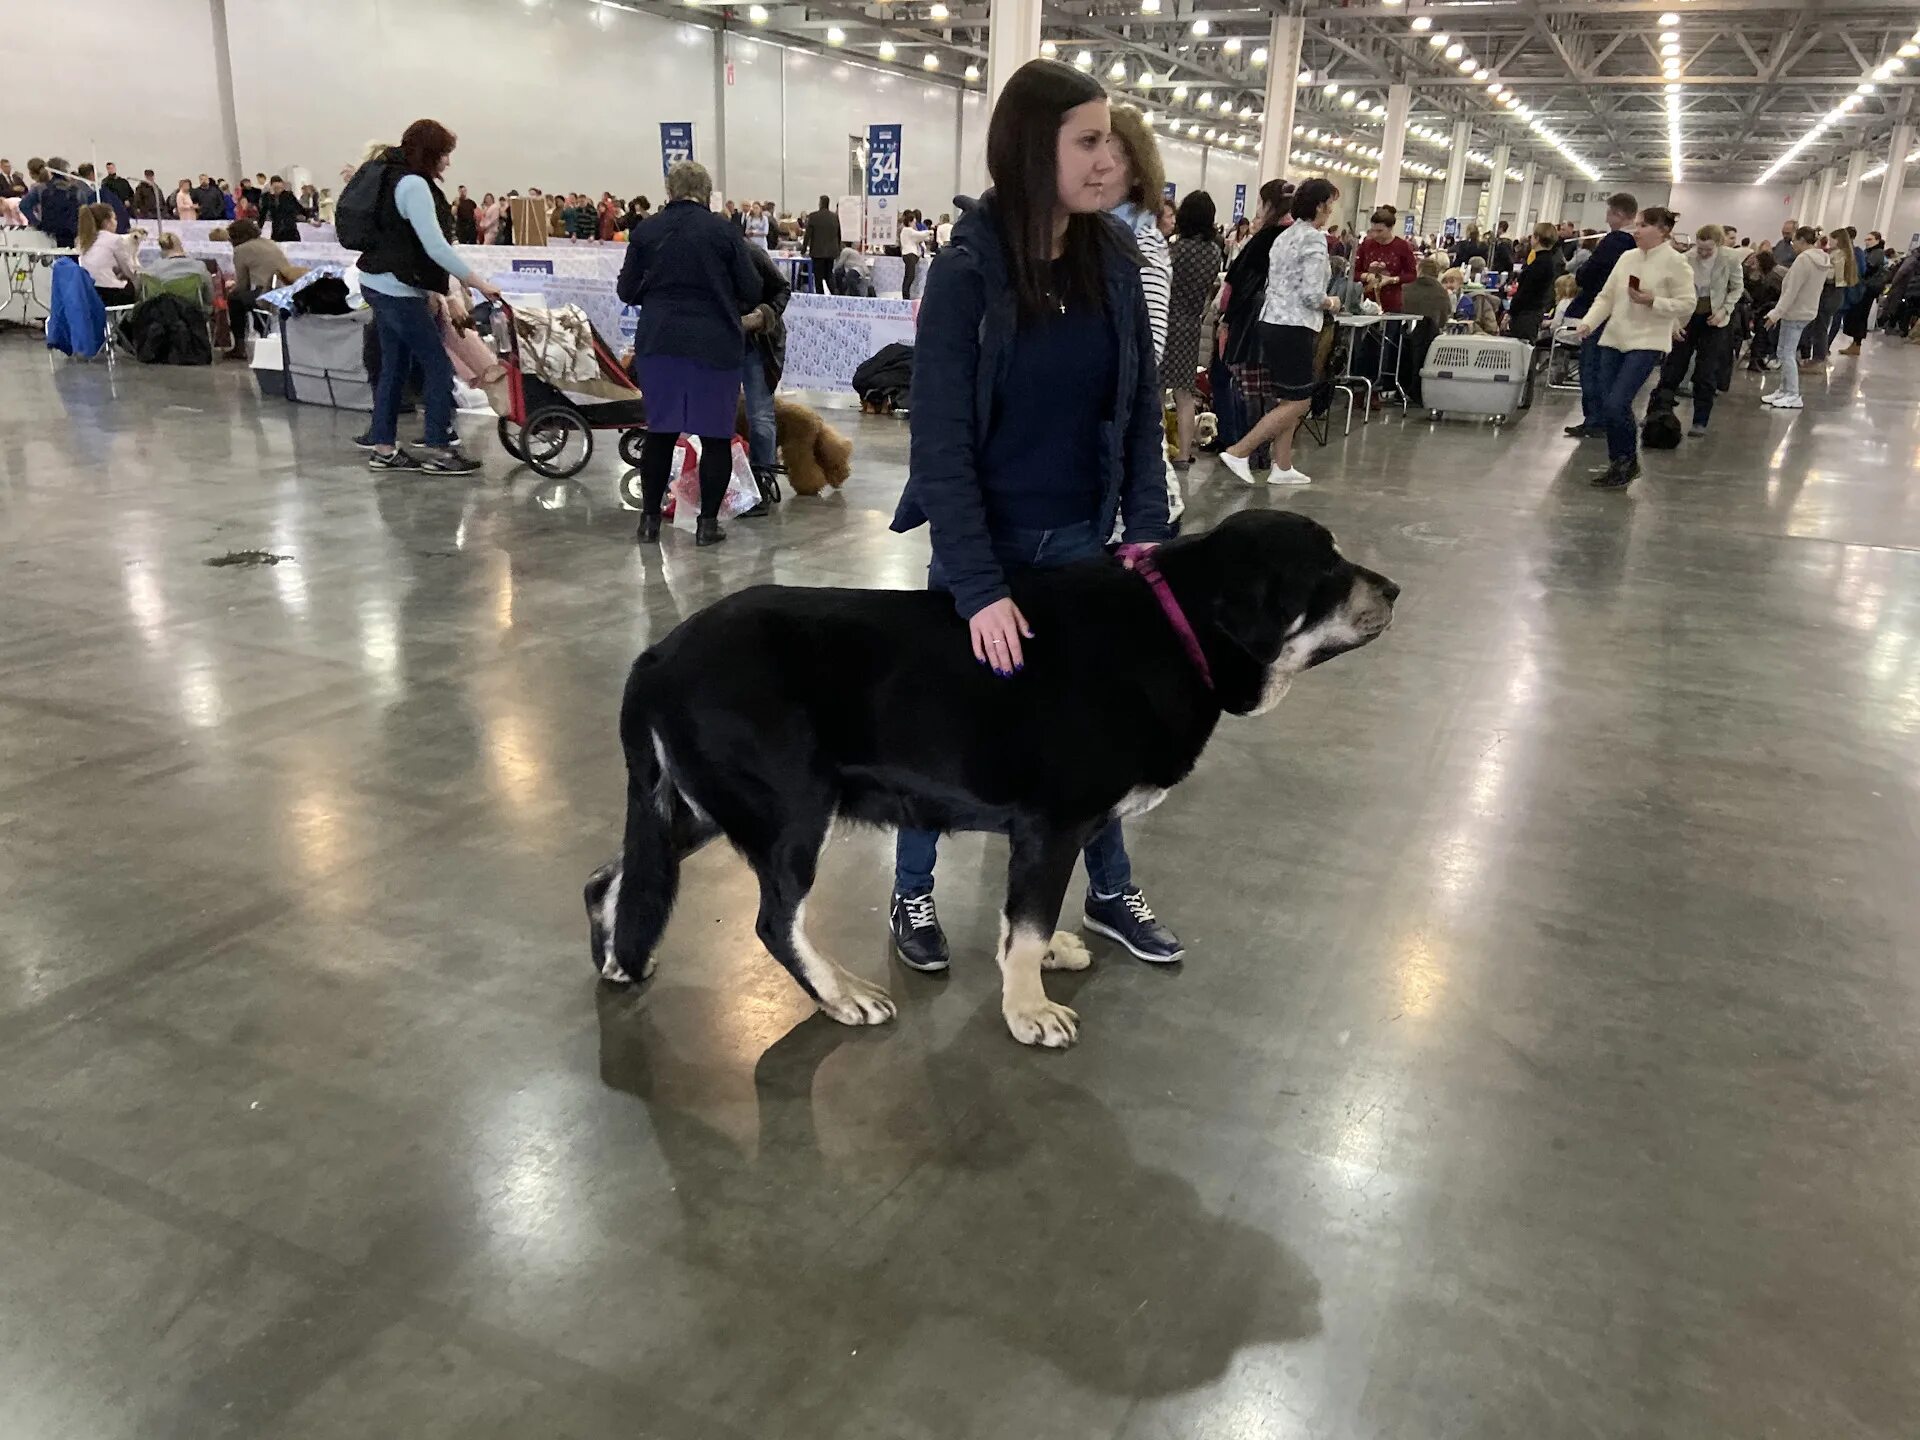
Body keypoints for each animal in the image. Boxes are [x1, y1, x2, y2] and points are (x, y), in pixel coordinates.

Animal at [579, 510, 1397, 1052]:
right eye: (1325, 568)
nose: (1393, 589)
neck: (1176, 627)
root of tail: (657, 653)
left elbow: (1021, 924)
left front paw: (1035, 967)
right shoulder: (1053, 824)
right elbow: (1028, 921)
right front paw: (1029, 1008)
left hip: (696, 807)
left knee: (612, 878)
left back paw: (620, 955)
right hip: (792, 814)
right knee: (775, 923)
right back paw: (843, 996)